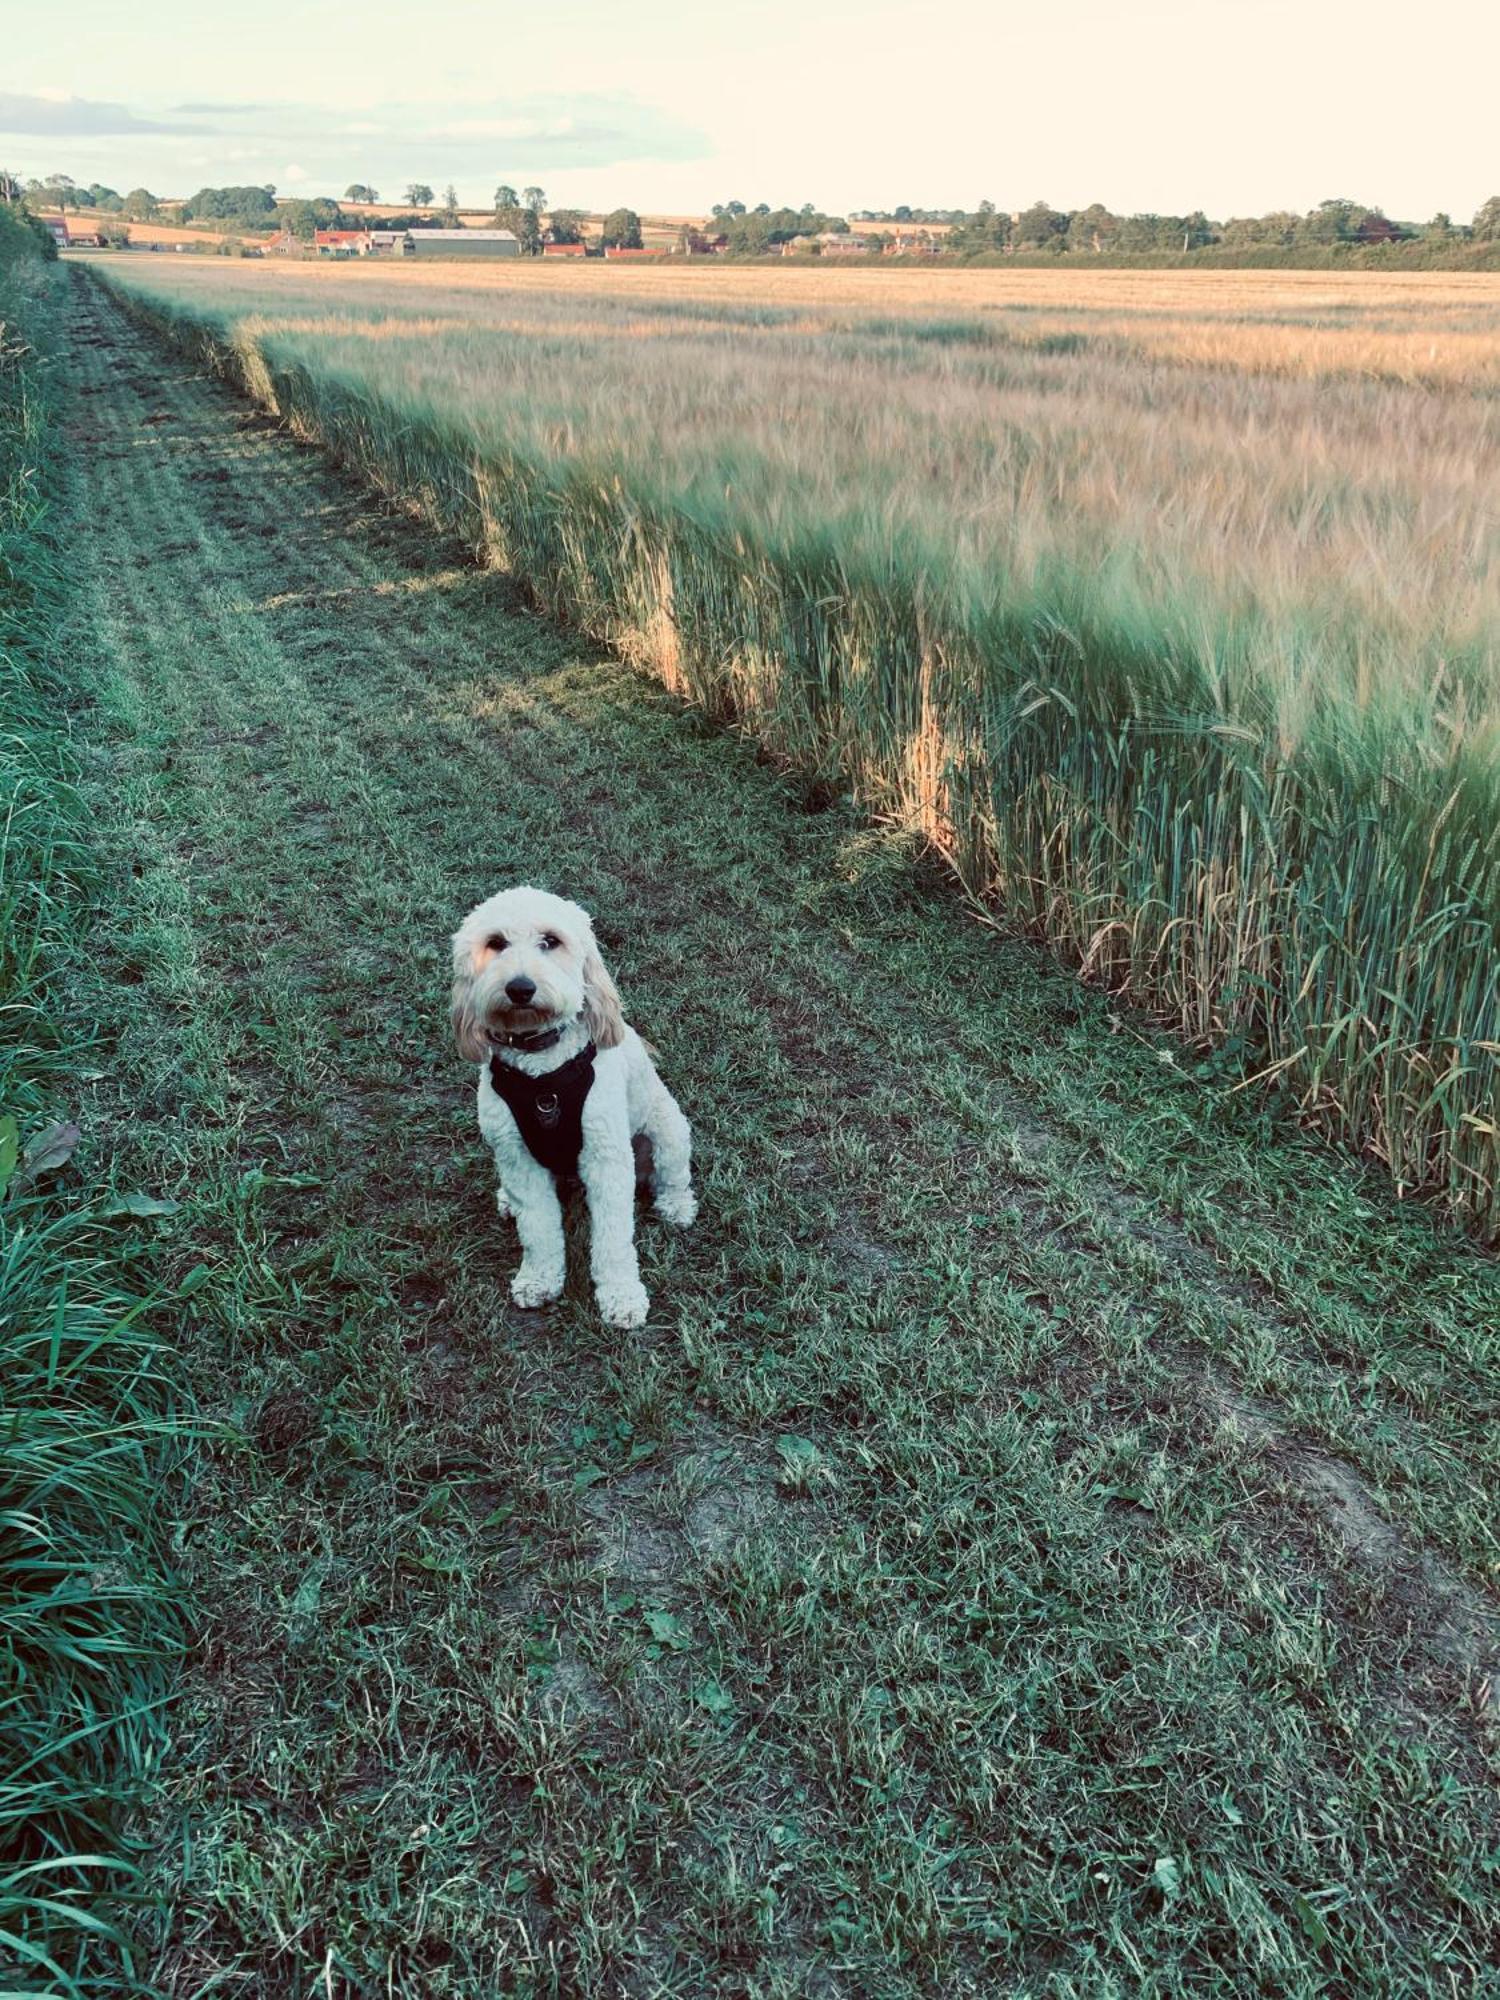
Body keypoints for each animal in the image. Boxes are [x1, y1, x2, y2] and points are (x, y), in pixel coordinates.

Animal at [450, 888, 704, 1328]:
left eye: (550, 941)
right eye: (495, 943)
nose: (520, 987)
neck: (542, 1071)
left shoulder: (606, 1157)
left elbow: (614, 1237)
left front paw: (621, 1296)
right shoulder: (518, 1158)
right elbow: (538, 1227)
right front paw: (538, 1279)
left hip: (668, 1130)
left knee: (672, 1177)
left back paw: (676, 1206)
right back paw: (507, 1201)